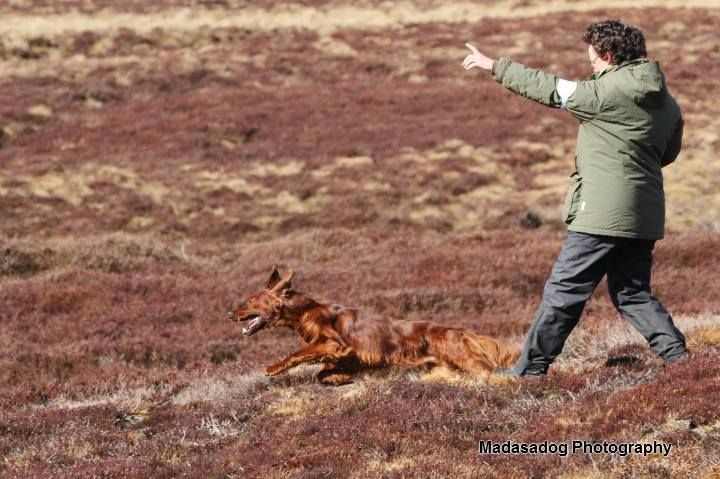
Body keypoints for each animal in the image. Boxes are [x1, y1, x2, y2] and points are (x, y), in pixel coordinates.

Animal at [229, 266, 516, 386]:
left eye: (250, 301)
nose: (231, 313)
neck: (305, 311)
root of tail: (463, 331)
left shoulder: (333, 343)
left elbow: (298, 354)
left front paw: (273, 368)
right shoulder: (345, 355)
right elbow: (322, 373)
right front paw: (338, 377)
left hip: (469, 360)